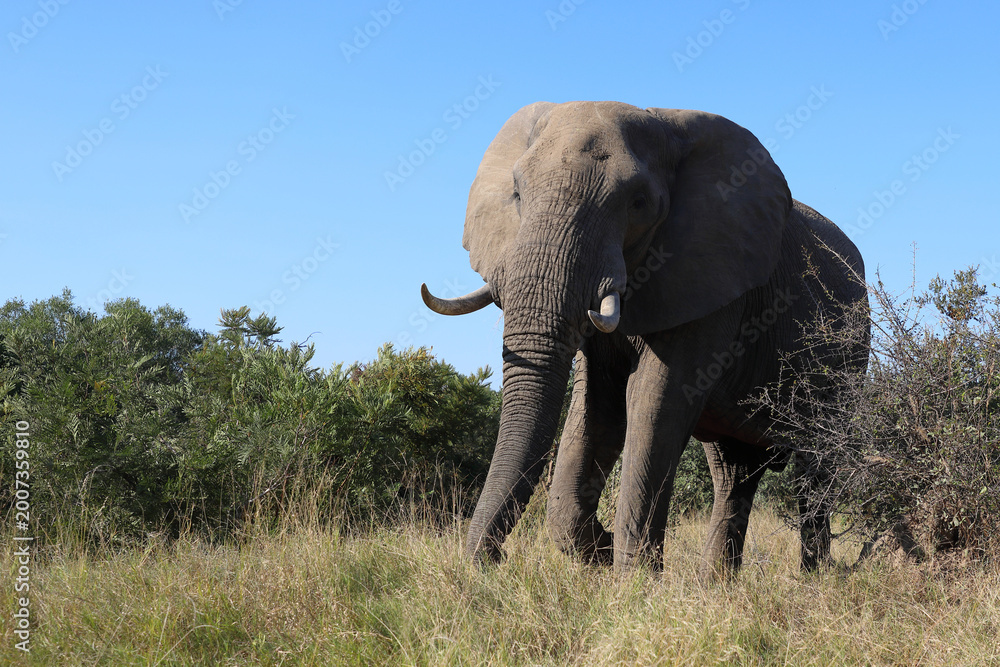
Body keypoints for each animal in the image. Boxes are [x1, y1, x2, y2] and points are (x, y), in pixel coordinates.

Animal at [421, 101, 869, 577]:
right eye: (518, 195)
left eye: (638, 203)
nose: (493, 559)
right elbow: (598, 408)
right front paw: (602, 549)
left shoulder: (709, 278)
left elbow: (652, 401)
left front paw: (634, 580)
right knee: (733, 472)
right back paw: (716, 585)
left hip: (846, 358)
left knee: (815, 465)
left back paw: (813, 580)